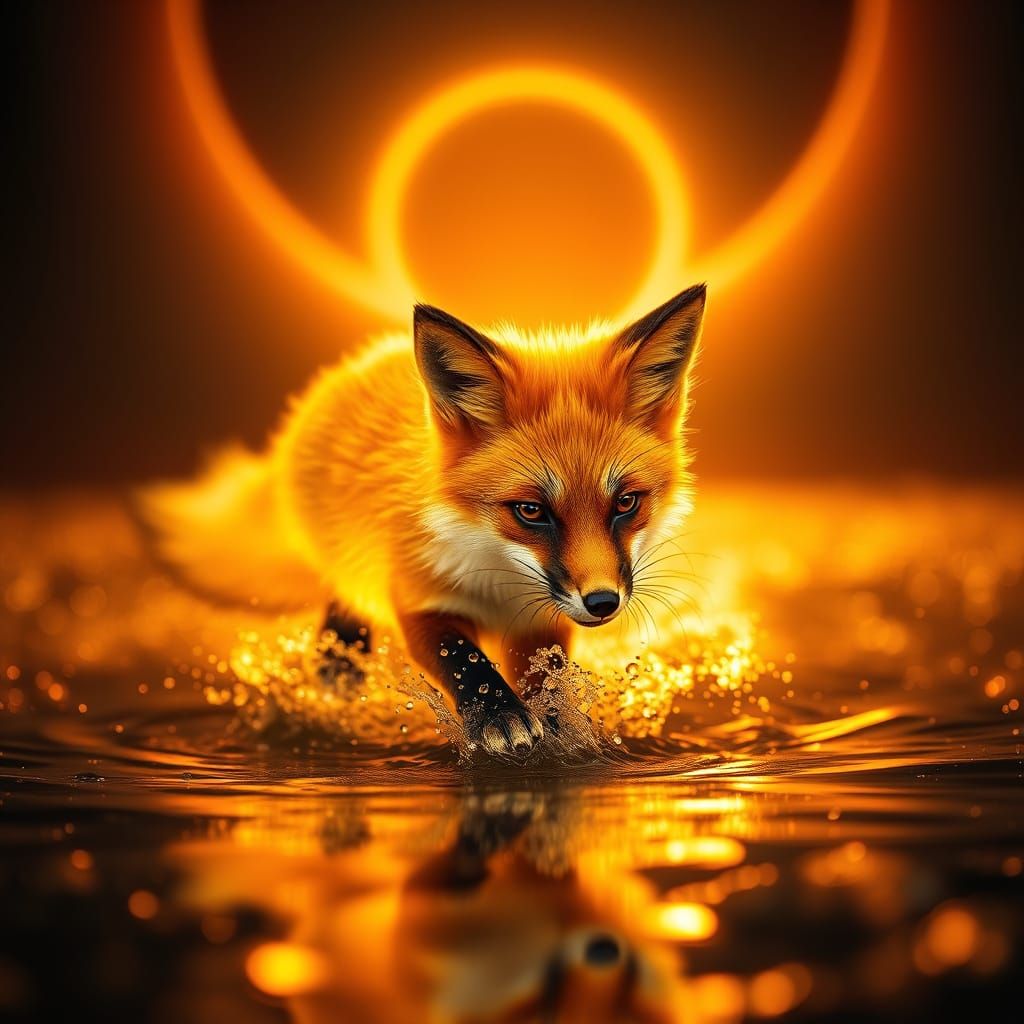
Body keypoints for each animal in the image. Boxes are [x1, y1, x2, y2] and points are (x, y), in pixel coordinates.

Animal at [141, 283, 707, 757]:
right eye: (531, 511)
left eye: (626, 503)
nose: (602, 601)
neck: (498, 576)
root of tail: (368, 359)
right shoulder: (419, 594)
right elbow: (464, 659)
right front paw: (499, 718)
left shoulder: (540, 621)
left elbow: (547, 677)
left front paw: (556, 723)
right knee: (342, 592)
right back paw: (339, 665)